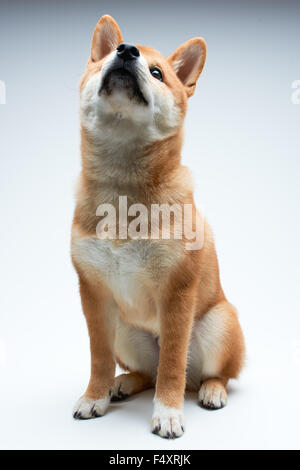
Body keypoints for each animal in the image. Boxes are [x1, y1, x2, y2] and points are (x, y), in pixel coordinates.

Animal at [71, 15, 245, 440]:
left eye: (157, 73)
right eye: (107, 59)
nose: (125, 50)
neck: (123, 192)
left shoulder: (176, 293)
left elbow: (171, 366)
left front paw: (167, 413)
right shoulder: (93, 295)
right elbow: (98, 357)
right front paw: (95, 396)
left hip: (219, 324)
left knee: (210, 373)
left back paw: (211, 391)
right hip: (124, 331)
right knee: (145, 373)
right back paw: (122, 384)